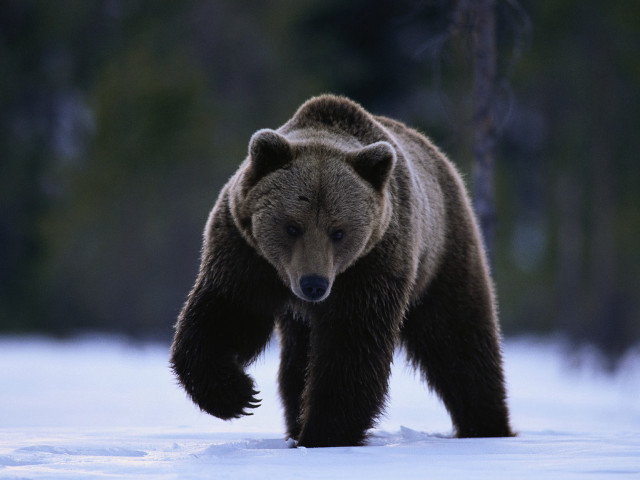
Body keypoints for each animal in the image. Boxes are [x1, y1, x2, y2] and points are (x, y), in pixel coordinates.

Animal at [170, 94, 513, 447]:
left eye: (338, 231)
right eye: (292, 226)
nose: (314, 284)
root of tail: (441, 158)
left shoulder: (372, 264)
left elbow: (351, 346)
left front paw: (324, 433)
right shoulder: (245, 252)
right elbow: (227, 313)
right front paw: (237, 395)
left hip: (442, 255)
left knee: (458, 339)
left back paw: (486, 425)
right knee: (296, 363)